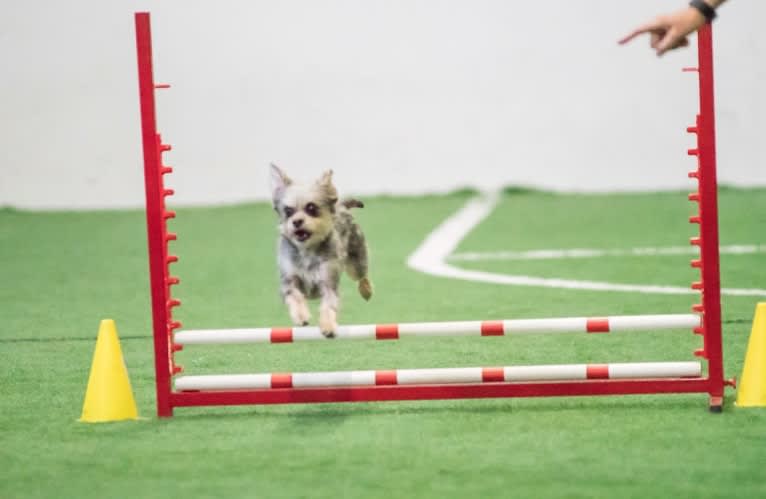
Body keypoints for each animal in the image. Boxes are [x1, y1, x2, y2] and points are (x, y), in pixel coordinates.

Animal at [272, 162, 374, 338]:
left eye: (311, 208)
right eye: (288, 211)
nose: (296, 222)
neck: (307, 250)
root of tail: (341, 207)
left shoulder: (328, 281)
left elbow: (328, 305)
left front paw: (328, 326)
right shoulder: (289, 281)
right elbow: (295, 296)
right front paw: (301, 316)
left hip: (356, 262)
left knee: (362, 276)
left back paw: (366, 291)